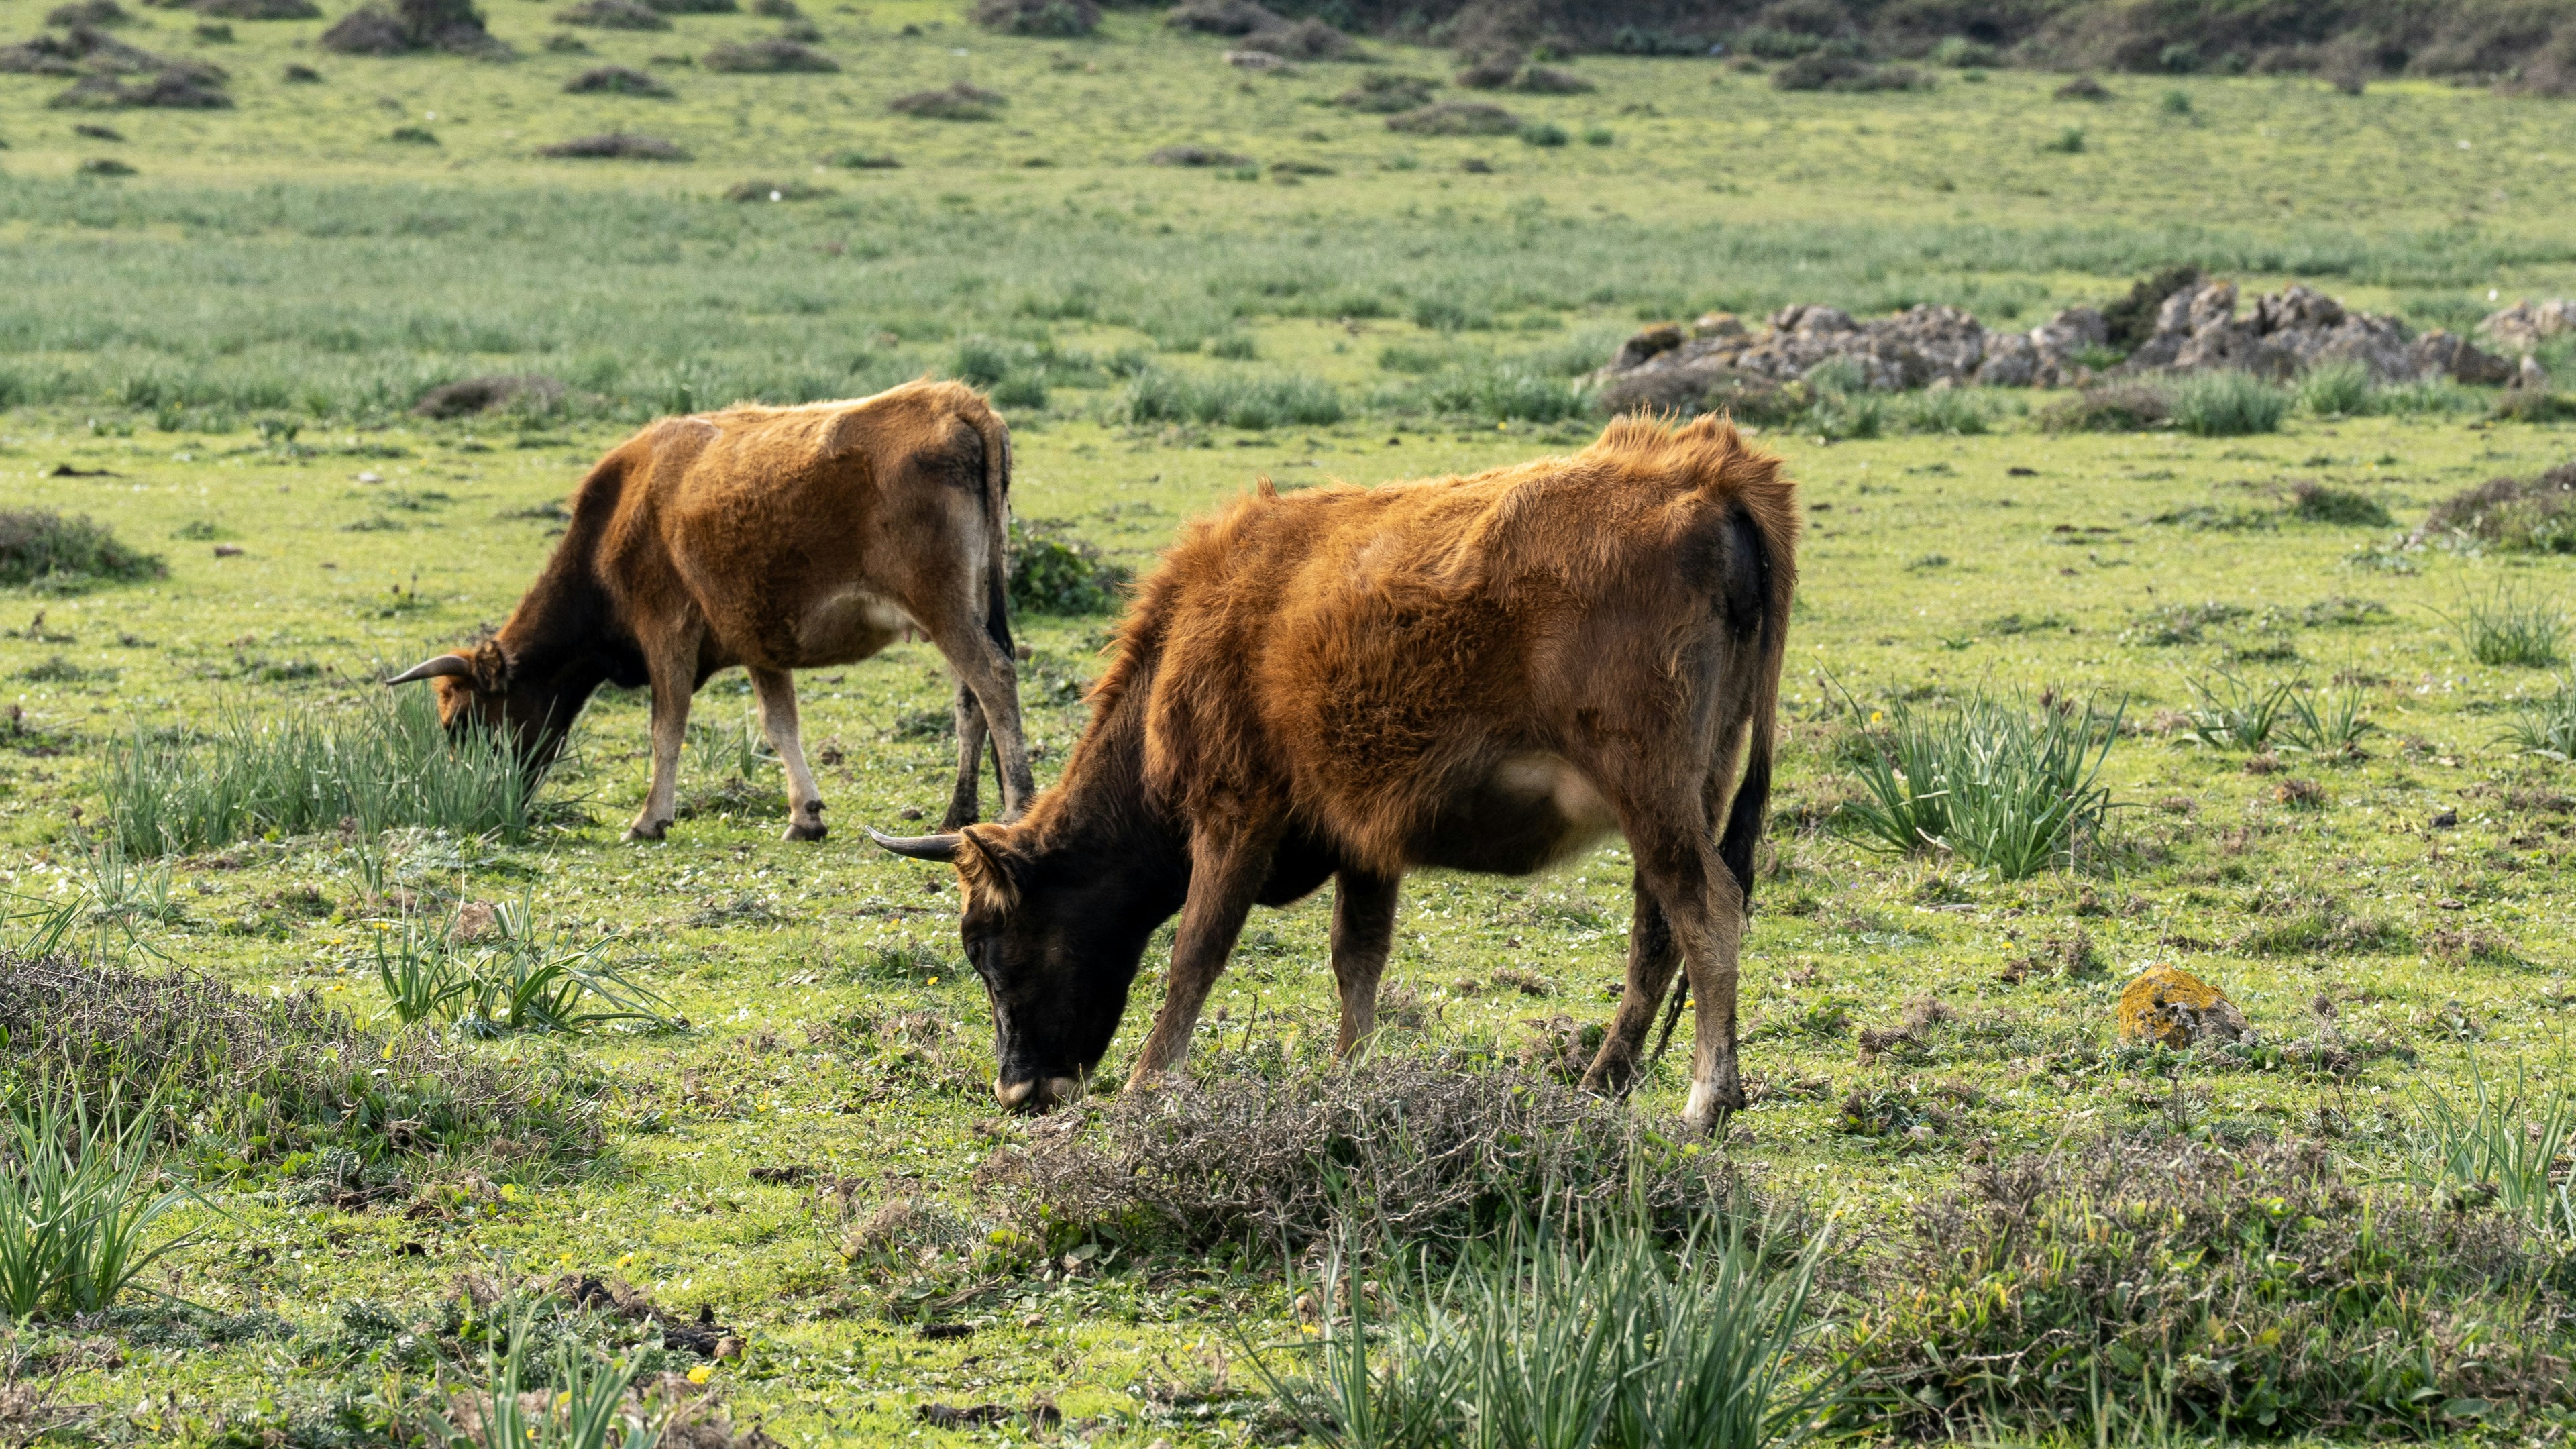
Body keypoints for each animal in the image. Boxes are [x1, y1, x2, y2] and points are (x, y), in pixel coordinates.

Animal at [386, 380, 1037, 841]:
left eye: (461, 721)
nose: (476, 800)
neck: (619, 517)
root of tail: (955, 403)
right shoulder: (760, 644)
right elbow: (780, 725)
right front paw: (805, 816)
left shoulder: (666, 633)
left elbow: (666, 727)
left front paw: (650, 817)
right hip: (963, 609)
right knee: (970, 703)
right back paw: (957, 814)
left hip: (943, 611)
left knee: (993, 679)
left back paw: (1016, 807)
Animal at [870, 413, 1798, 1133]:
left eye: (994, 950)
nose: (1019, 1091)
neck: (1189, 638)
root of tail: (1710, 477)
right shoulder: (1365, 844)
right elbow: (1358, 960)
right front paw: (1352, 1077)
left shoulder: (1235, 815)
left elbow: (1196, 952)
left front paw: (1146, 1084)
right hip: (1687, 795)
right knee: (1658, 932)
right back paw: (1603, 1081)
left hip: (1651, 794)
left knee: (1705, 909)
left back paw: (1706, 1101)